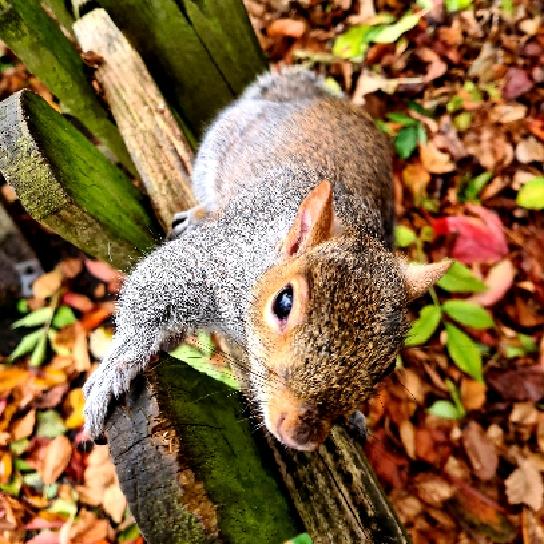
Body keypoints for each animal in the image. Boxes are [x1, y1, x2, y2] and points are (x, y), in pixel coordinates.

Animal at [83, 67, 450, 450]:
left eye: (386, 366)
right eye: (283, 302)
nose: (300, 435)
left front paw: (354, 418)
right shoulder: (217, 258)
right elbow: (151, 292)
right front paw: (115, 369)